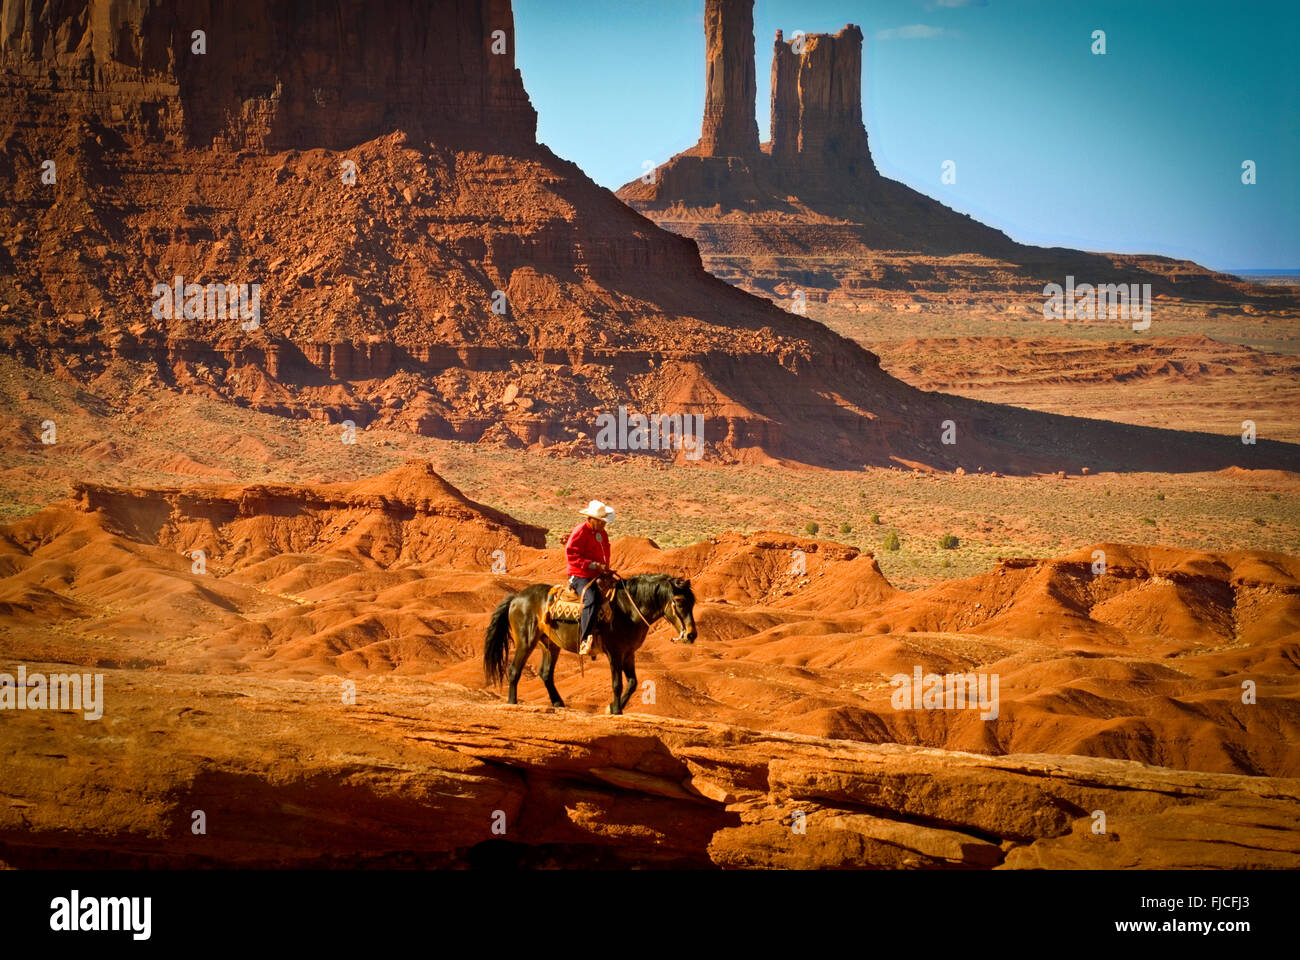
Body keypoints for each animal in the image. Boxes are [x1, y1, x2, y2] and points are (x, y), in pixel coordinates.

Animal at [480, 572, 702, 712]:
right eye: (679, 602)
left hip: (550, 645)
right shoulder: (615, 652)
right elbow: (617, 684)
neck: (627, 609)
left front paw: (612, 707)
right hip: (526, 641)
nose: (691, 635)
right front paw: (616, 710)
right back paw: (512, 702)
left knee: (545, 673)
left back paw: (558, 703)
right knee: (514, 670)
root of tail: (516, 598)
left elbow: (632, 683)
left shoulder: (628, 653)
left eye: (692, 602)